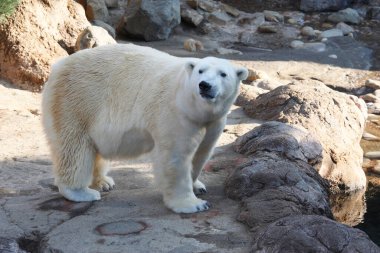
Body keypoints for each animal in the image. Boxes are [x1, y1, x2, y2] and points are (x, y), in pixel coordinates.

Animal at [42, 44, 249, 213]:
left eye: (223, 74)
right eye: (200, 70)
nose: (205, 85)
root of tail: (58, 66)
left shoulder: (214, 121)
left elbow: (202, 153)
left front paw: (198, 185)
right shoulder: (175, 114)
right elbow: (176, 157)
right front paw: (193, 204)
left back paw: (103, 182)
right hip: (78, 101)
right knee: (74, 147)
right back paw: (81, 192)